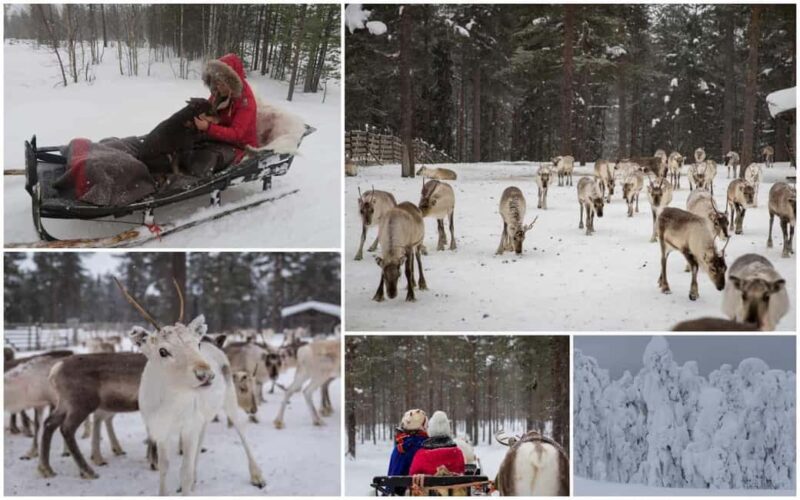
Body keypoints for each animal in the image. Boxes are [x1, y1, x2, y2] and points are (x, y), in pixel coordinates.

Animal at [116, 278, 266, 495]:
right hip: (203, 417)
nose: (206, 374)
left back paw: (257, 476)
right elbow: (164, 468)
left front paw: (187, 483)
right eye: (163, 351)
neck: (170, 408)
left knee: (241, 430)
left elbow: (184, 472)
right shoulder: (161, 430)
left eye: (196, 344)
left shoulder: (189, 426)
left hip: (229, 398)